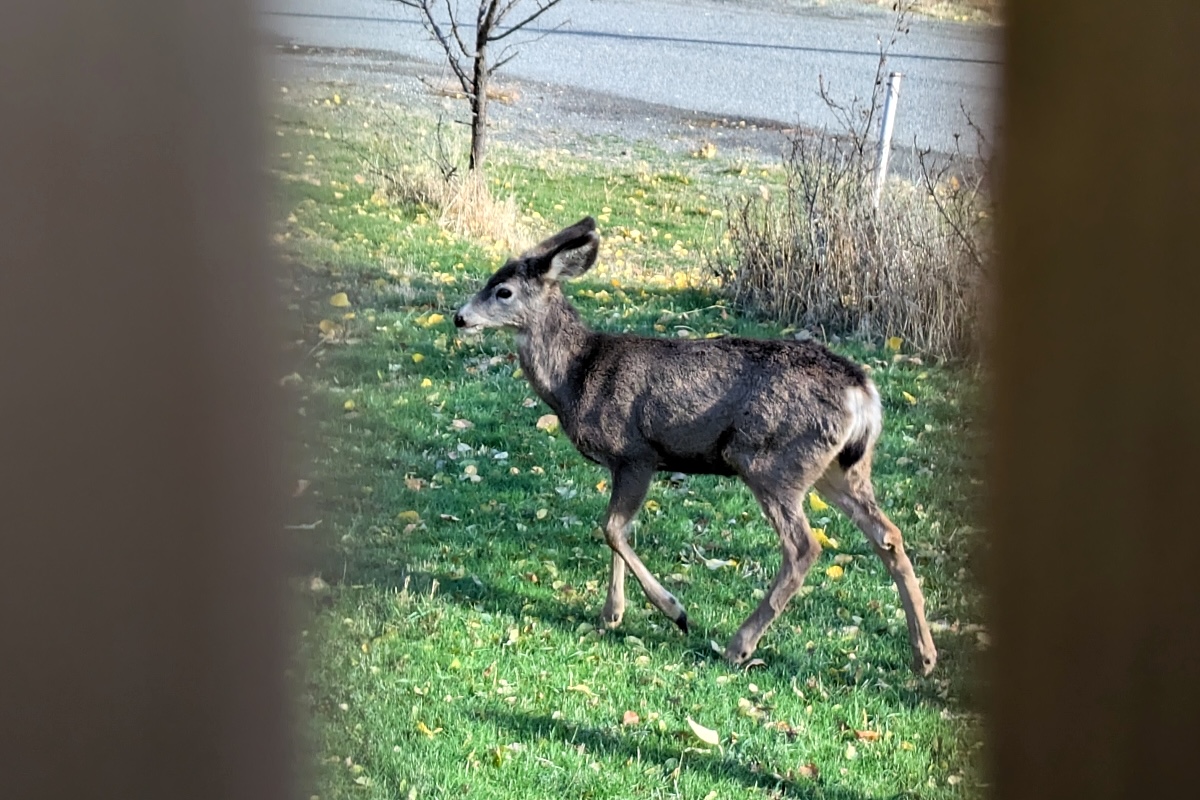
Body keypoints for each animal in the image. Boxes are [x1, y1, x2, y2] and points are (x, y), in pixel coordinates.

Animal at [453, 217, 938, 675]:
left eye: (503, 291)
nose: (459, 317)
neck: (578, 374)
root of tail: (863, 392)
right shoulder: (622, 464)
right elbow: (618, 530)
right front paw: (612, 614)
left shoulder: (636, 452)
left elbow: (612, 528)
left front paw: (673, 611)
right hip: (838, 469)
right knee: (888, 535)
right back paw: (924, 656)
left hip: (771, 460)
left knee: (805, 547)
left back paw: (739, 645)